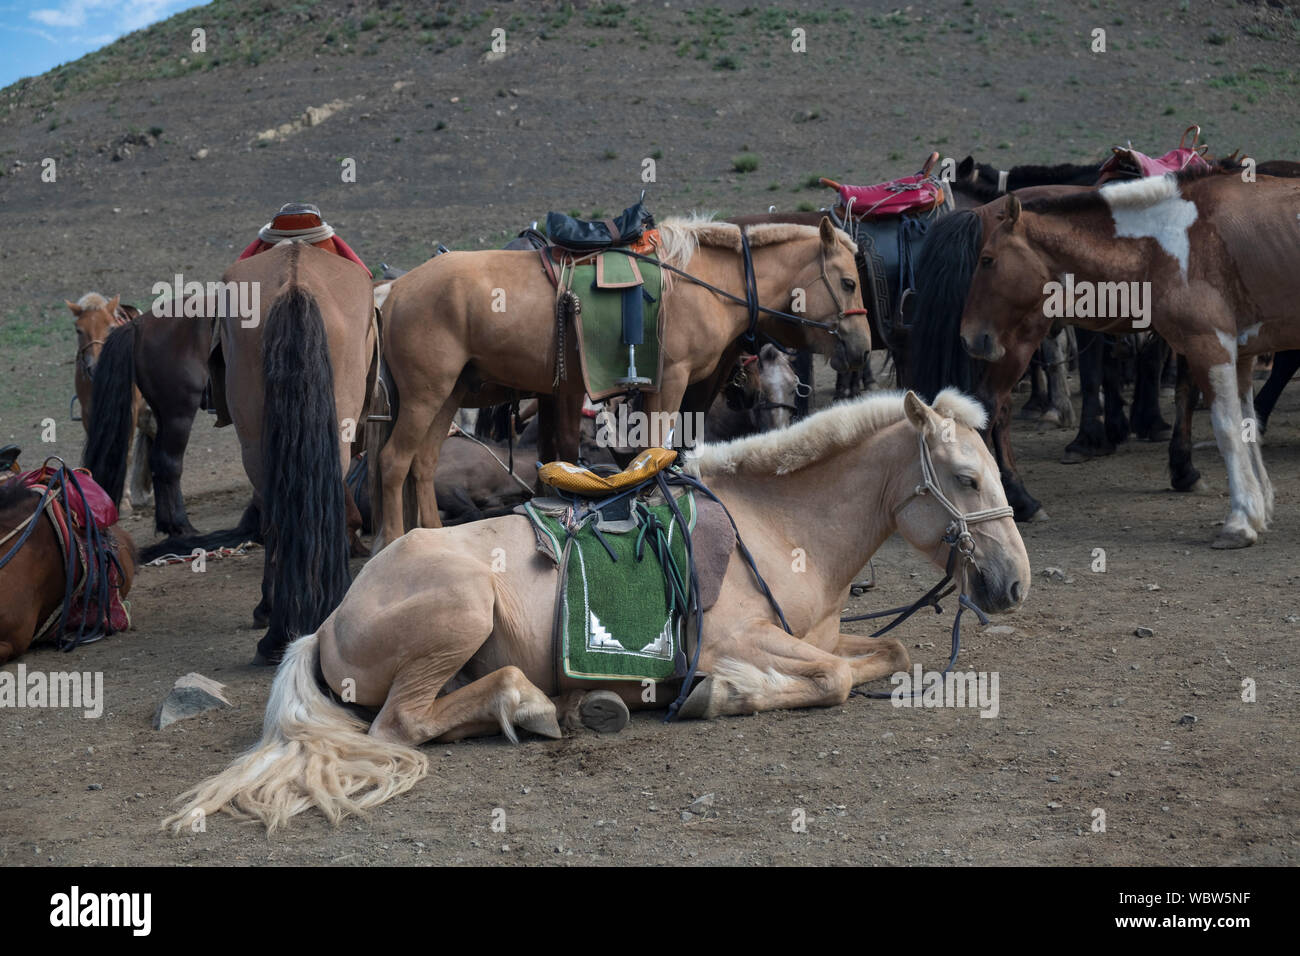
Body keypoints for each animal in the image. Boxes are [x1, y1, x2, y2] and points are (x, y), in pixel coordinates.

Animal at [167, 387, 1029, 832]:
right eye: (965, 476)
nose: (1014, 583)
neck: (776, 529)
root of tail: (330, 621)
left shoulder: (827, 636)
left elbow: (891, 655)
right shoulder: (735, 641)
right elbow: (830, 680)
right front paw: (725, 696)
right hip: (461, 607)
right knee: (403, 722)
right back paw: (538, 704)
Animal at [371, 213, 868, 548]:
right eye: (847, 282)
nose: (862, 347)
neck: (703, 284)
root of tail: (394, 292)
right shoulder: (670, 380)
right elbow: (654, 451)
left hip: (450, 393)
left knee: (423, 462)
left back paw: (432, 537)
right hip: (424, 394)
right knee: (394, 462)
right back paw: (395, 542)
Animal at [961, 167, 1300, 548]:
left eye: (987, 260)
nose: (969, 335)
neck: (1164, 241)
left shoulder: (1211, 346)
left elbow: (1227, 430)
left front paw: (1240, 521)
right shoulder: (1241, 354)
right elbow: (1247, 426)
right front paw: (1258, 510)